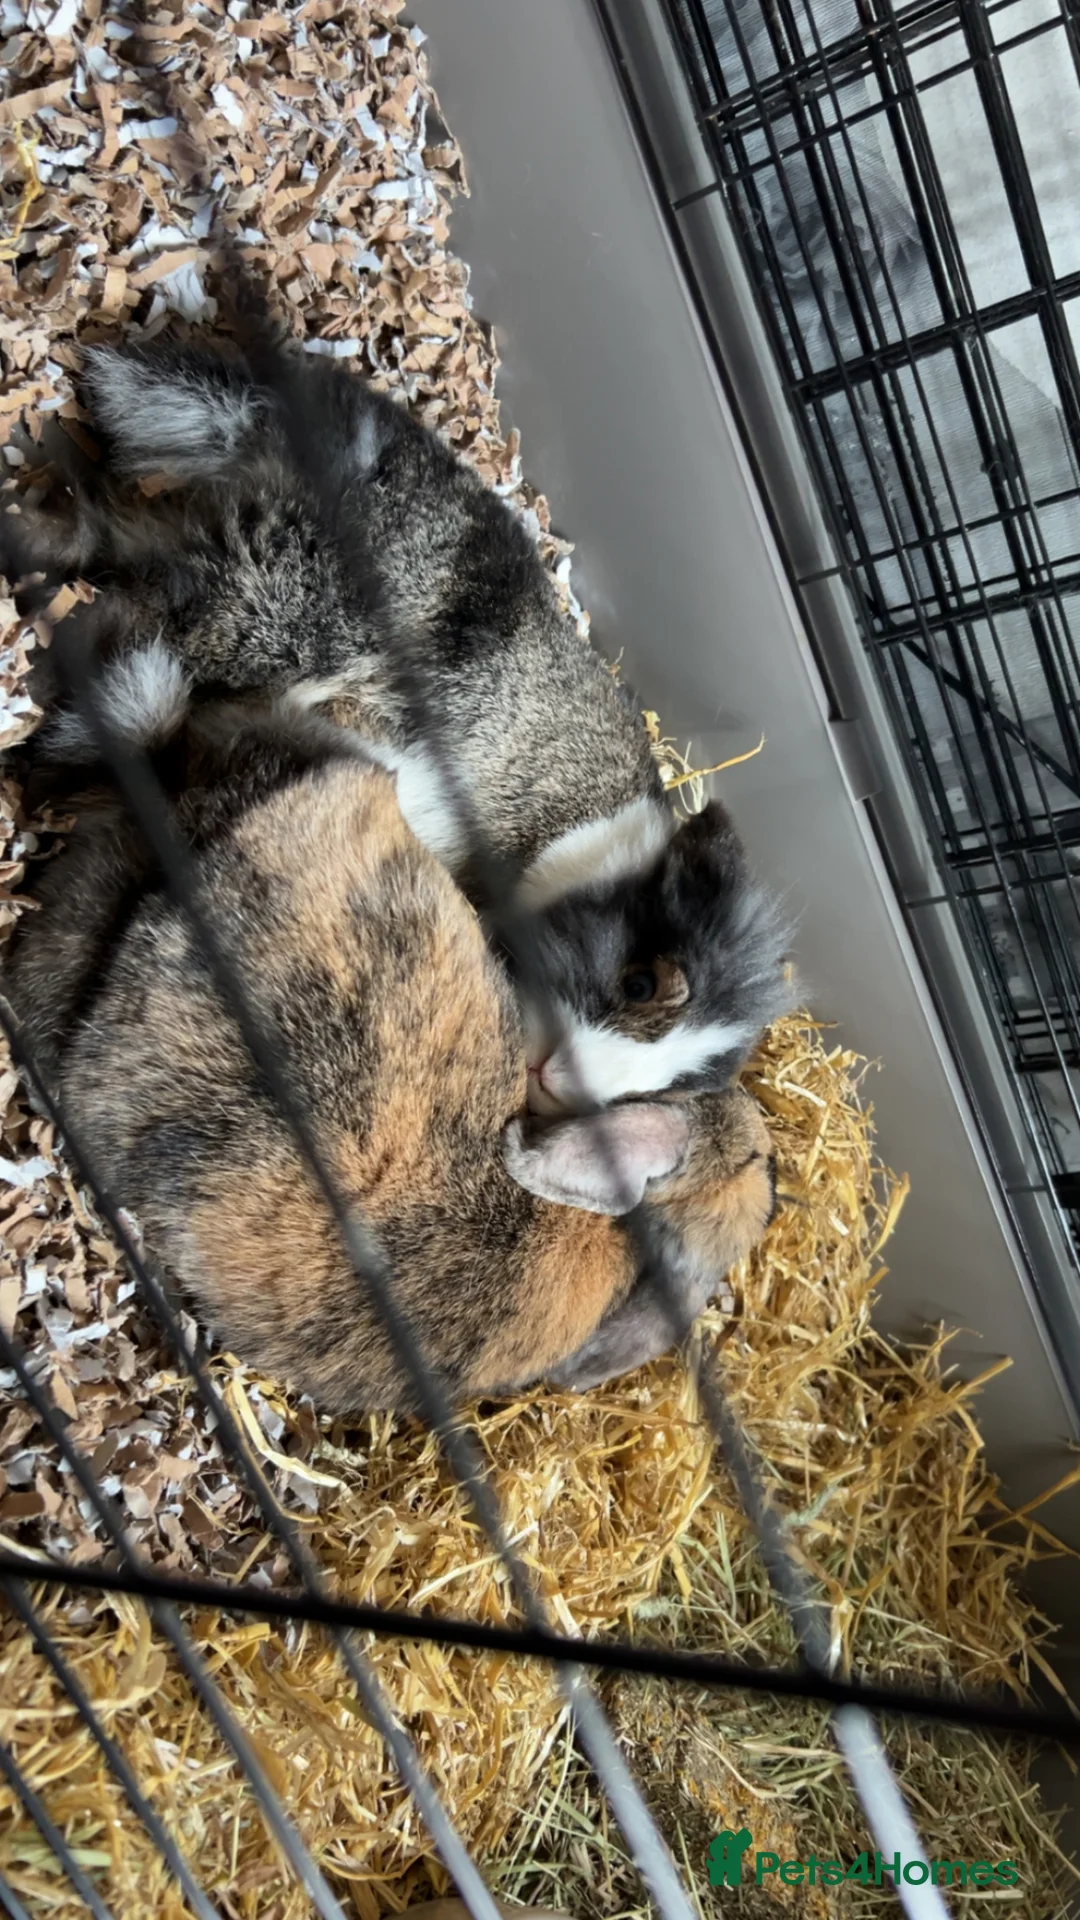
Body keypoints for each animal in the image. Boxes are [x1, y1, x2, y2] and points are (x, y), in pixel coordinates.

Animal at [6, 333, 793, 1121]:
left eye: (663, 1088)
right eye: (641, 982)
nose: (559, 1083)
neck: (590, 849)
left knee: (107, 531)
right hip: (260, 604)